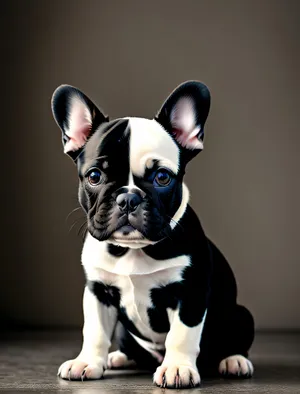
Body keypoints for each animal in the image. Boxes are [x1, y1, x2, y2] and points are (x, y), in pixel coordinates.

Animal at [52, 81, 254, 388]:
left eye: (162, 177)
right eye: (95, 176)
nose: (128, 198)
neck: (133, 249)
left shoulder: (189, 293)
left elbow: (181, 335)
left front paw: (177, 368)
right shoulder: (98, 291)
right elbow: (95, 332)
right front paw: (87, 362)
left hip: (241, 316)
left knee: (233, 342)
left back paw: (233, 361)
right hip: (125, 332)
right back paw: (120, 358)